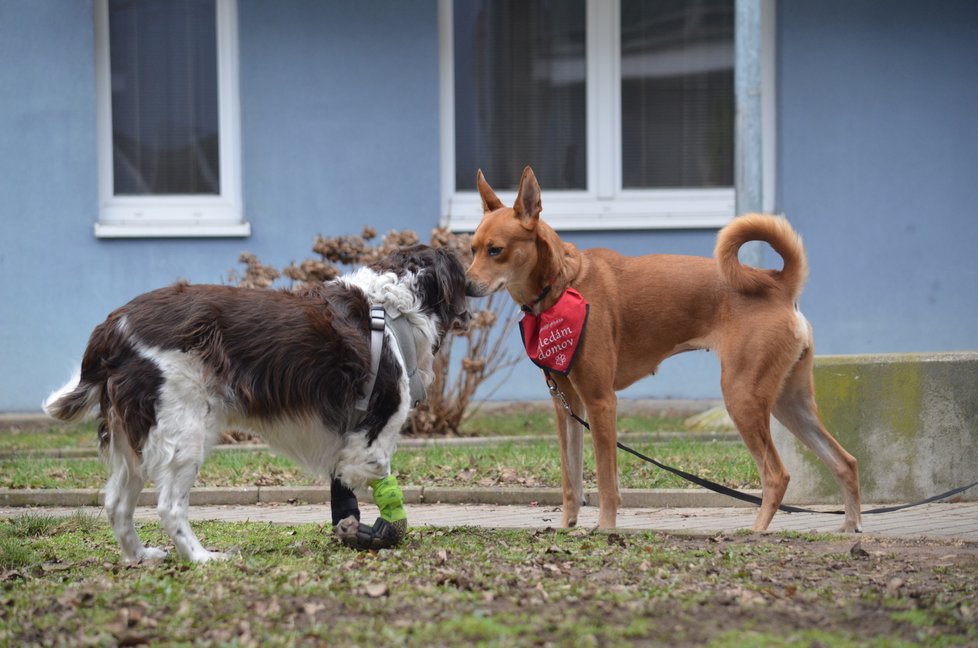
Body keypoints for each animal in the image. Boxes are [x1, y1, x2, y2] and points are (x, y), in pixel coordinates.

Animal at [44, 246, 468, 560]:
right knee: (168, 505)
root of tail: (113, 327)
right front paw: (384, 532)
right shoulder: (375, 426)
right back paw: (202, 558)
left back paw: (140, 556)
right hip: (184, 430)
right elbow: (379, 476)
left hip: (136, 434)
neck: (393, 308)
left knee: (116, 502)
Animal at [468, 166, 856, 532]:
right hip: (789, 402)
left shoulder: (600, 401)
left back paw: (757, 531)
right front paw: (566, 527)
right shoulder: (567, 406)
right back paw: (850, 526)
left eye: (496, 250)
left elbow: (606, 482)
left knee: (777, 475)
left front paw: (605, 528)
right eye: (472, 249)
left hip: (743, 396)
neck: (563, 284)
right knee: (845, 462)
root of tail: (777, 283)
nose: (466, 284)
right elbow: (571, 481)